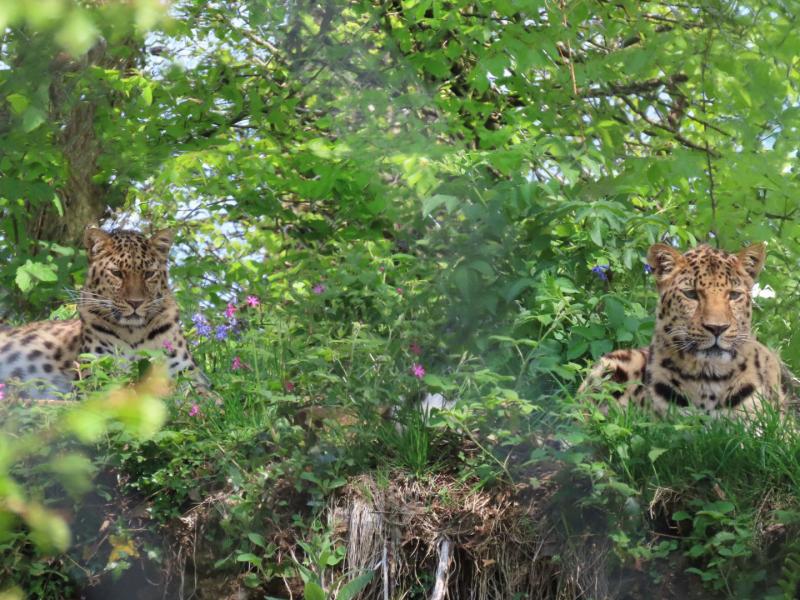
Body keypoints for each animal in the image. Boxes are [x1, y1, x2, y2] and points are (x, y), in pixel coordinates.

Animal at [0, 228, 208, 400]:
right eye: (117, 273)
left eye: (149, 274)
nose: (135, 302)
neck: (134, 333)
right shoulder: (95, 376)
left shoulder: (187, 373)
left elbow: (202, 396)